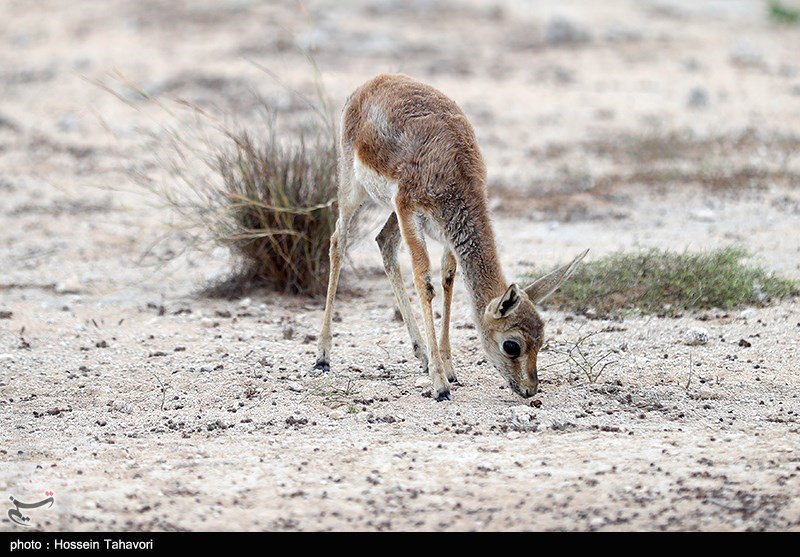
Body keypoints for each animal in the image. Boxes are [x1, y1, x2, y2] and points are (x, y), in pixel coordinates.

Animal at [313, 73, 587, 401]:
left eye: (542, 338)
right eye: (512, 344)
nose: (530, 389)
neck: (454, 171)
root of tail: (375, 81)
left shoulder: (444, 231)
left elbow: (447, 278)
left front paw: (448, 368)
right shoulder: (409, 211)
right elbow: (424, 281)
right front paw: (440, 384)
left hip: (390, 211)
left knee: (384, 242)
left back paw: (420, 354)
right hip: (353, 189)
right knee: (338, 242)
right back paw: (323, 357)